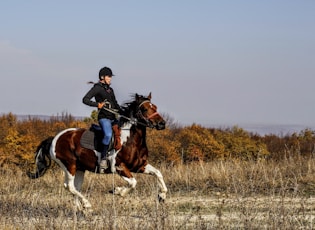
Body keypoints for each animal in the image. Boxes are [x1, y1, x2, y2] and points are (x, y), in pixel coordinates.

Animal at [27, 92, 168, 209]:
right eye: (145, 109)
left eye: (155, 107)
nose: (162, 124)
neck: (131, 139)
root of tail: (55, 138)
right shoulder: (119, 167)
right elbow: (133, 182)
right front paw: (117, 191)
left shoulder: (139, 166)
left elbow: (158, 173)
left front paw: (162, 196)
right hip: (69, 165)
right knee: (70, 186)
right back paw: (87, 204)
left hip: (80, 168)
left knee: (75, 187)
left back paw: (79, 208)